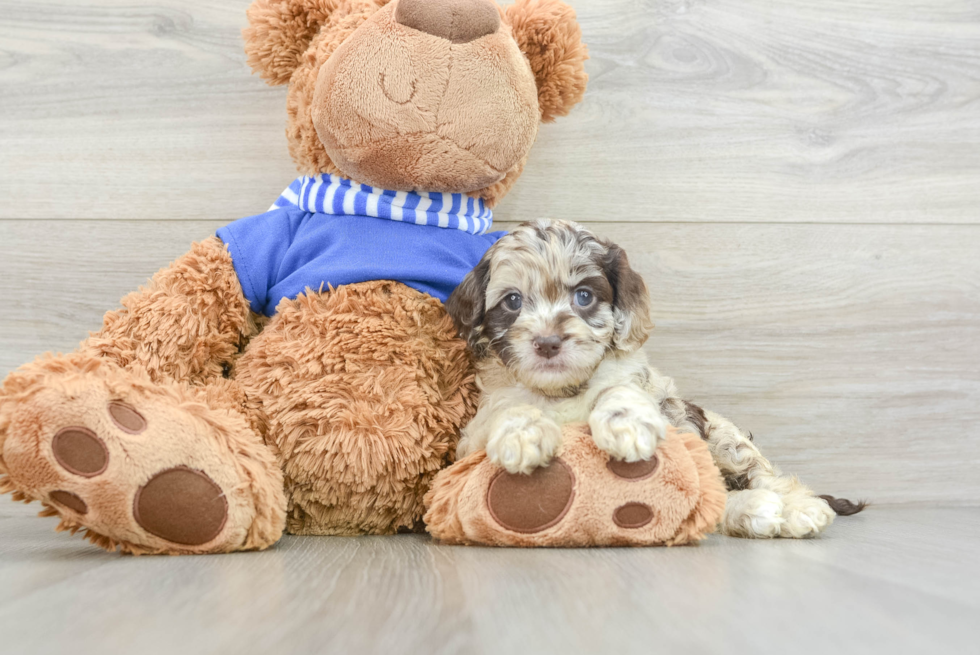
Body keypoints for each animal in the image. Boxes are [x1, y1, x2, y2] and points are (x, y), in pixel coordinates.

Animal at [448, 219, 860, 540]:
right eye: (513, 301)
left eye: (584, 296)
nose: (548, 343)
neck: (562, 391)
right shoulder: (472, 440)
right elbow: (508, 408)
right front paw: (522, 434)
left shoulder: (652, 397)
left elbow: (618, 389)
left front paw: (626, 425)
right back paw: (759, 510)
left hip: (726, 440)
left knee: (759, 481)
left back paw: (793, 509)